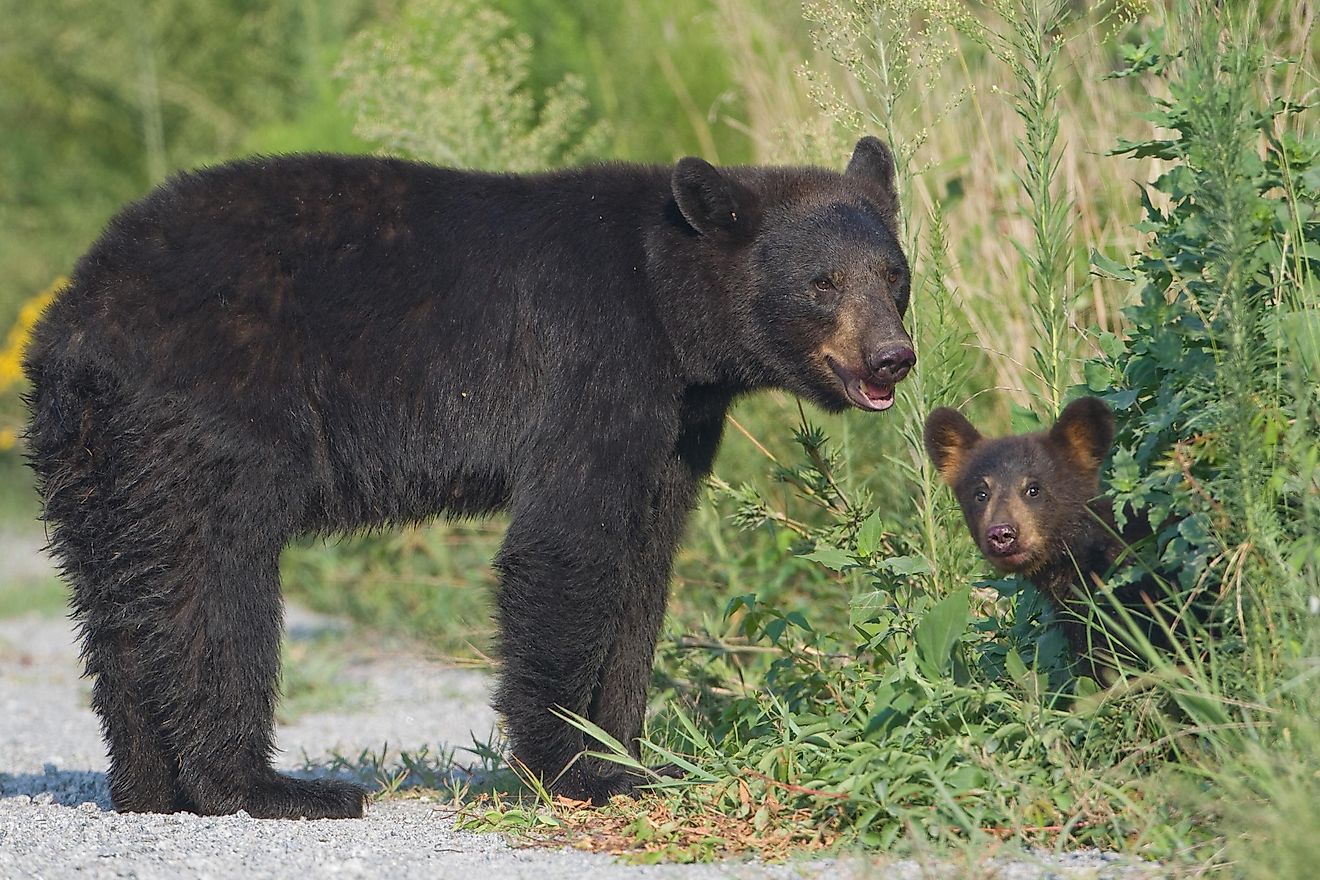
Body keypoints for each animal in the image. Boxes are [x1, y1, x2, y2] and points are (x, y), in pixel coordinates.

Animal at [23, 137, 918, 817]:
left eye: (894, 274)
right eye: (822, 283)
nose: (892, 357)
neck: (670, 305)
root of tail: (78, 319)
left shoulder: (677, 425)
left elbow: (644, 570)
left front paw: (631, 758)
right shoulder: (593, 363)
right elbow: (567, 548)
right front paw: (572, 767)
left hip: (95, 458)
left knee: (121, 601)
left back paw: (149, 788)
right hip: (215, 415)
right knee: (216, 585)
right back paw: (269, 788)